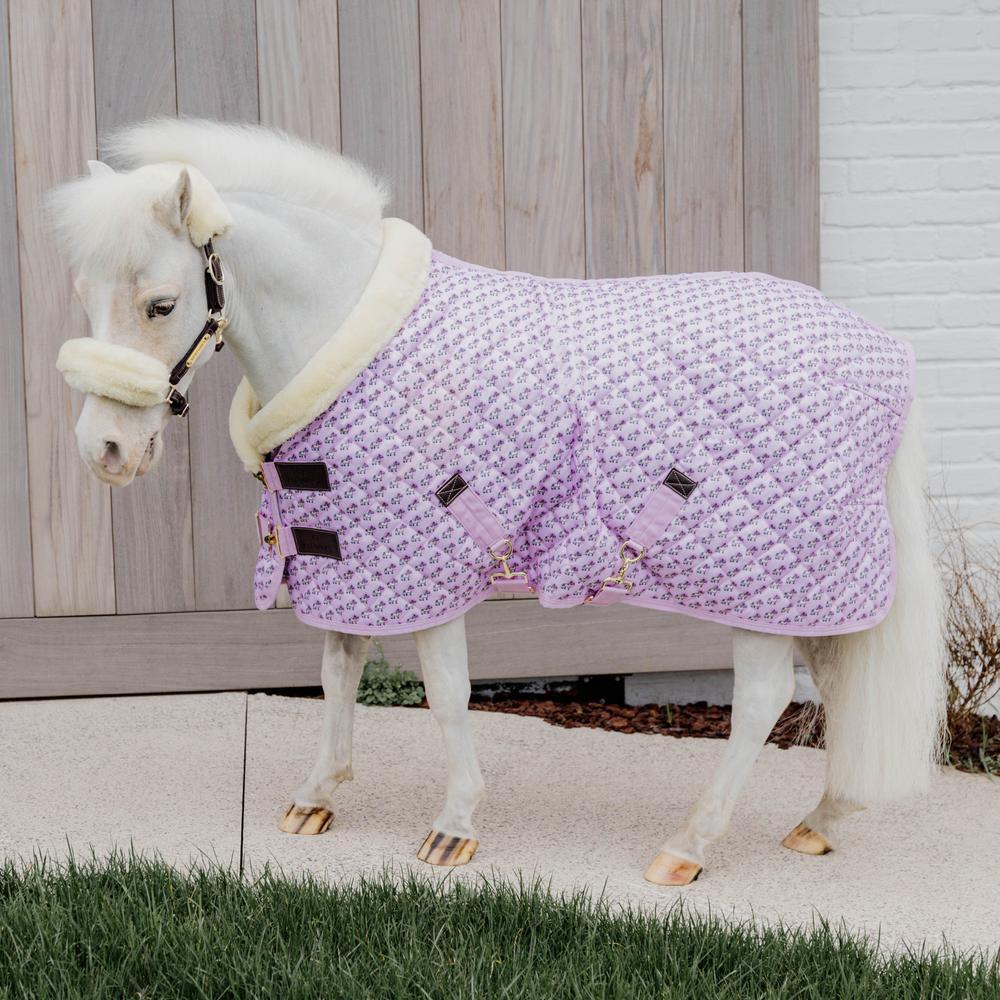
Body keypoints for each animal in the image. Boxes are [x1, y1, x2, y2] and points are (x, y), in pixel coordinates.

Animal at [51, 119, 944, 885]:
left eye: (163, 304)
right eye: (85, 294)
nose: (104, 453)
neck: (353, 338)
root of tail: (886, 353)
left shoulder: (433, 570)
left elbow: (446, 696)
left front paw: (453, 829)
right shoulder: (352, 561)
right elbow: (338, 674)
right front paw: (317, 798)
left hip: (757, 586)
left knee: (762, 702)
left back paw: (687, 848)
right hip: (814, 587)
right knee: (842, 683)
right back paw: (822, 820)